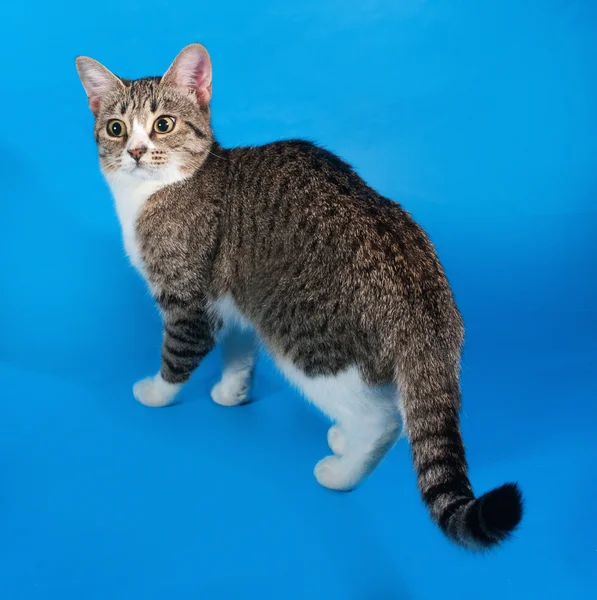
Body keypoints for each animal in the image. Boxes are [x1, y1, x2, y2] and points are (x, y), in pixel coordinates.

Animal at [74, 43, 520, 548]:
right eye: (115, 128)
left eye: (163, 124)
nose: (134, 151)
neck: (157, 192)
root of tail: (426, 305)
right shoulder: (233, 296)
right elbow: (239, 349)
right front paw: (231, 392)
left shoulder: (188, 301)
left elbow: (177, 355)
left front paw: (154, 393)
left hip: (304, 342)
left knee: (383, 420)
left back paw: (342, 472)